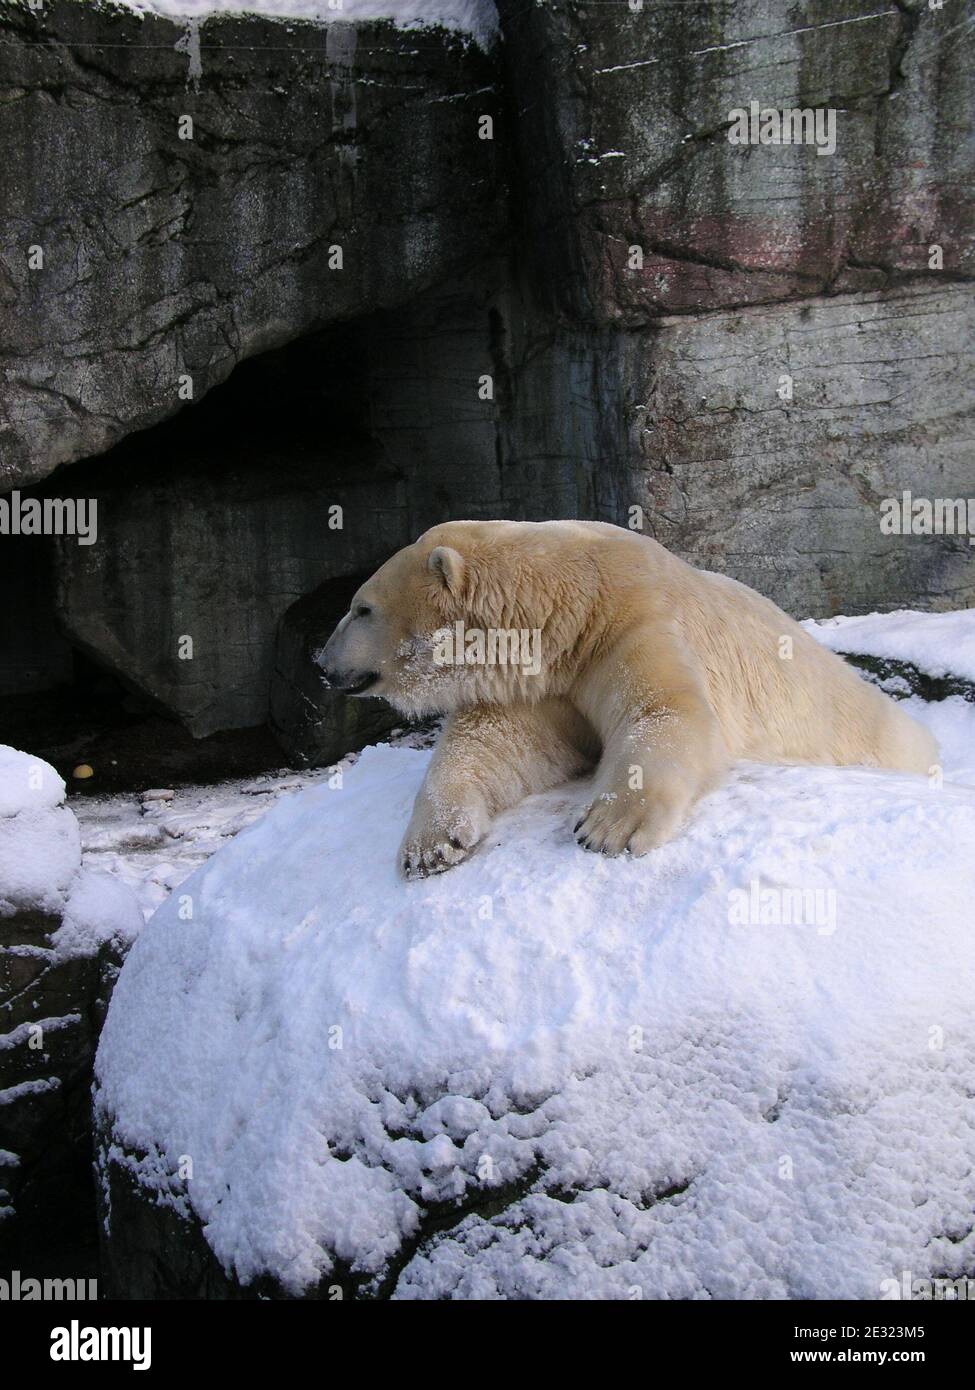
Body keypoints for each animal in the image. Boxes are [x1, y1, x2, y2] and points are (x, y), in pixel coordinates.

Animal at [319, 522, 934, 878]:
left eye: (362, 608)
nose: (322, 664)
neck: (564, 603)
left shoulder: (632, 619)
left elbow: (665, 710)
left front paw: (609, 827)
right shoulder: (542, 679)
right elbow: (492, 744)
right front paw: (430, 845)